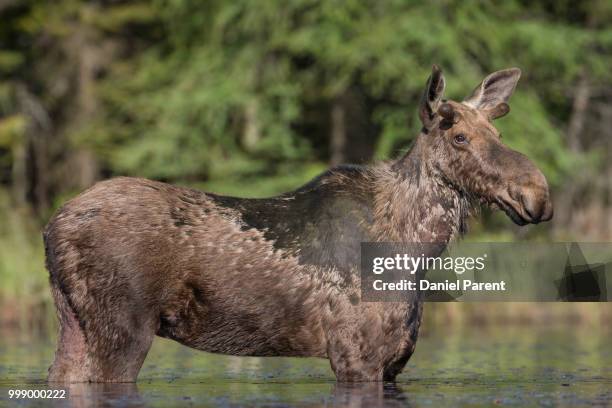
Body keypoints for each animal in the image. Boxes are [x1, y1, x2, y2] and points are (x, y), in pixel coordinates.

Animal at [43, 66, 548, 382]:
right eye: (460, 137)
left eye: (497, 133)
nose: (537, 192)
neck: (416, 249)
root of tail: (52, 226)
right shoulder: (355, 353)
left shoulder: (395, 359)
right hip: (122, 329)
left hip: (74, 323)